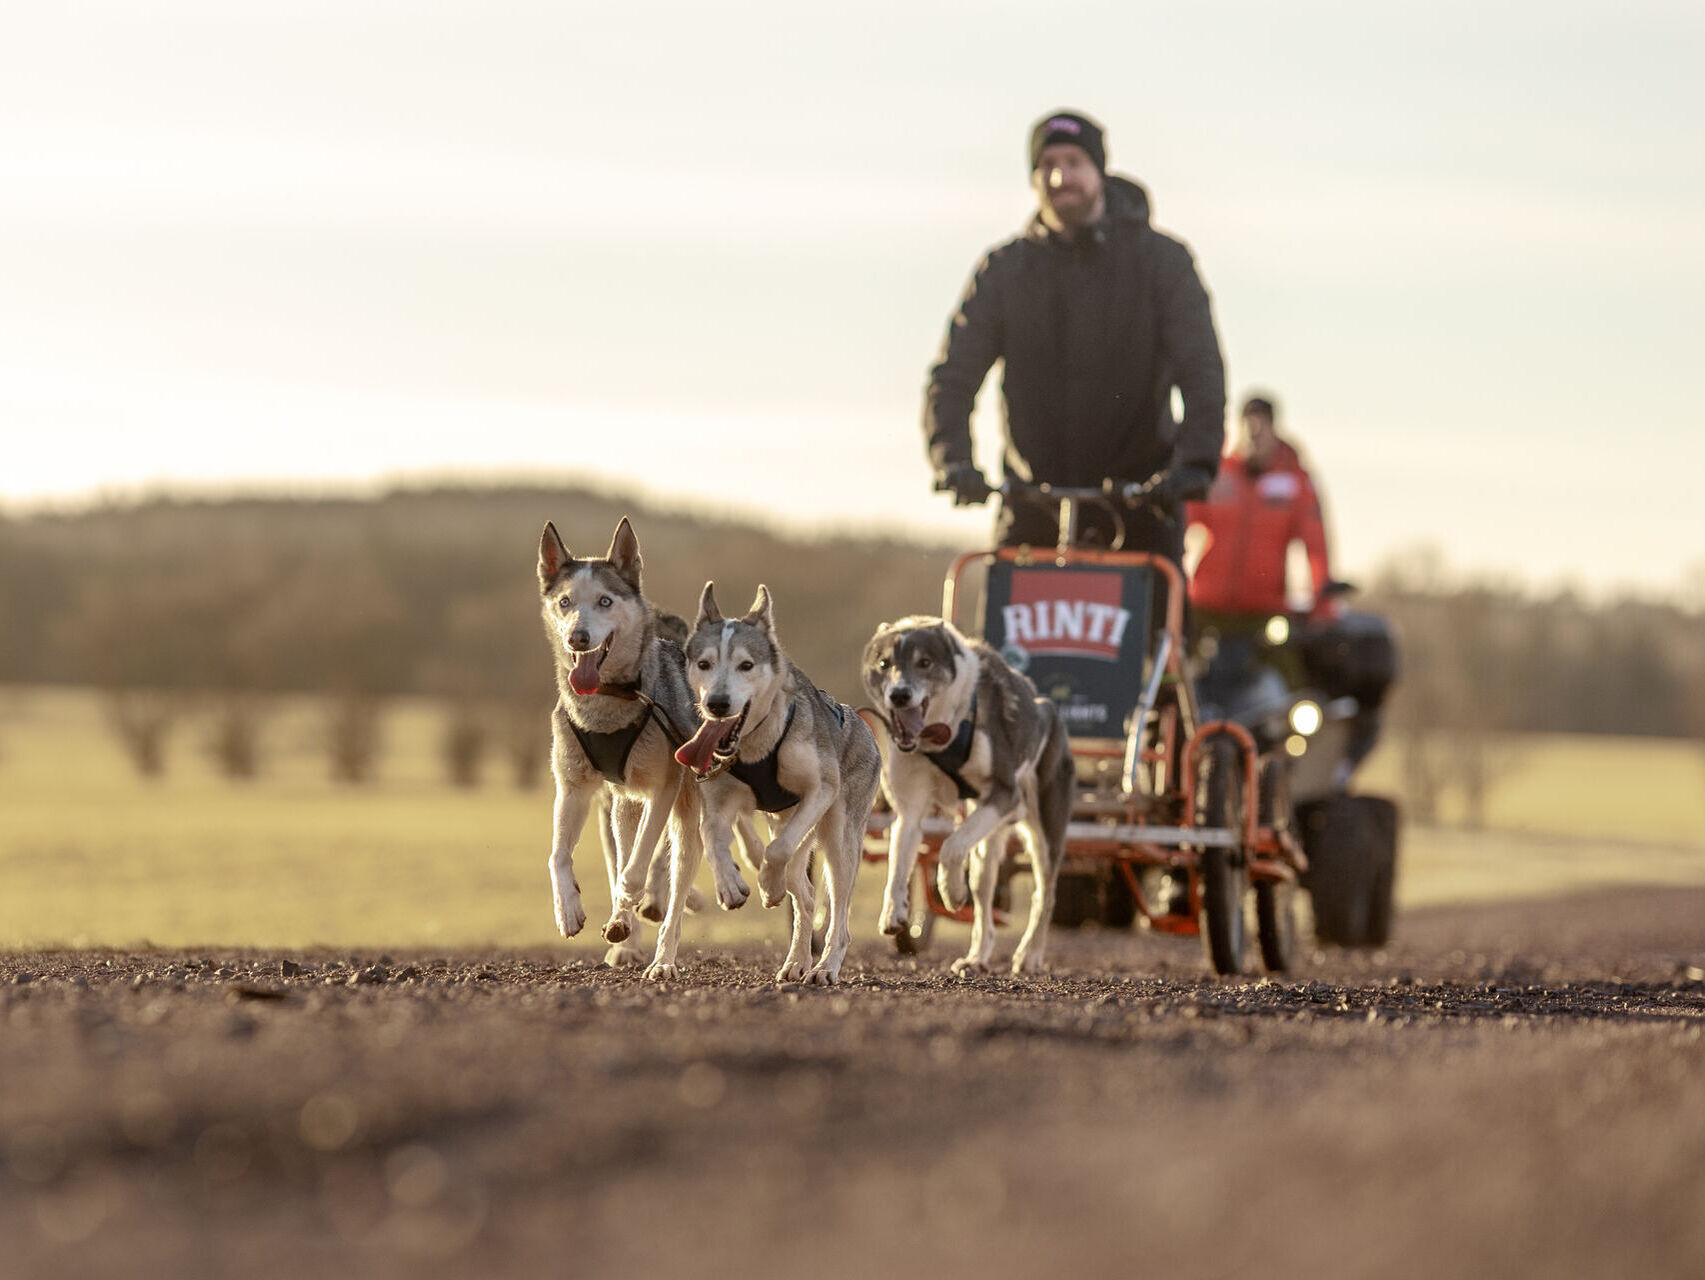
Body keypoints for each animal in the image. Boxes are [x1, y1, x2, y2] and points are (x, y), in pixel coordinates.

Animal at [531, 521, 746, 961]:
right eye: (565, 602)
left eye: (605, 601)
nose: (578, 637)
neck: (609, 705)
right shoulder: (574, 787)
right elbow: (558, 856)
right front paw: (569, 909)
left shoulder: (663, 786)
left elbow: (637, 866)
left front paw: (634, 898)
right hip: (622, 803)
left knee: (708, 837)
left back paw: (720, 883)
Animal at [661, 586, 886, 988]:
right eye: (704, 664)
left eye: (746, 665)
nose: (717, 703)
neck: (755, 747)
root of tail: (862, 723)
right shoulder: (717, 802)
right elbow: (713, 838)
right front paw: (730, 886)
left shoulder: (819, 791)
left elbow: (777, 851)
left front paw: (768, 885)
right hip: (790, 830)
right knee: (806, 896)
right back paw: (797, 961)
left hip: (838, 837)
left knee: (837, 916)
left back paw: (824, 967)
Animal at [859, 616, 1070, 974]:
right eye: (884, 663)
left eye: (924, 662)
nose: (899, 695)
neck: (940, 733)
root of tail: (1049, 710)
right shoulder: (910, 811)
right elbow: (898, 862)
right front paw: (894, 911)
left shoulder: (1004, 794)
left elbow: (951, 846)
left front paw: (952, 891)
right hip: (987, 847)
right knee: (985, 900)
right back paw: (976, 958)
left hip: (1043, 833)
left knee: (1045, 895)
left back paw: (1029, 954)